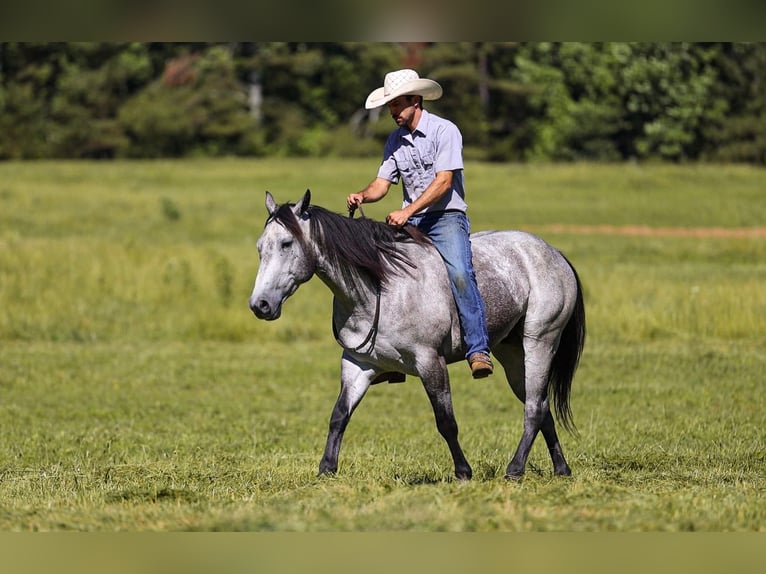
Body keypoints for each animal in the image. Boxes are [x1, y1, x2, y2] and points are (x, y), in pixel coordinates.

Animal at [249, 190, 585, 480]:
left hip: (540, 342)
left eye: (287, 243)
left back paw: (514, 469)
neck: (380, 289)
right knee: (540, 405)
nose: (260, 305)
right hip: (513, 354)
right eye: (260, 247)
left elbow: (446, 421)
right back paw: (561, 469)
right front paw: (326, 468)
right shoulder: (357, 364)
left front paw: (463, 472)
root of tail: (555, 253)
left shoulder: (429, 361)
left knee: (533, 408)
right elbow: (339, 415)